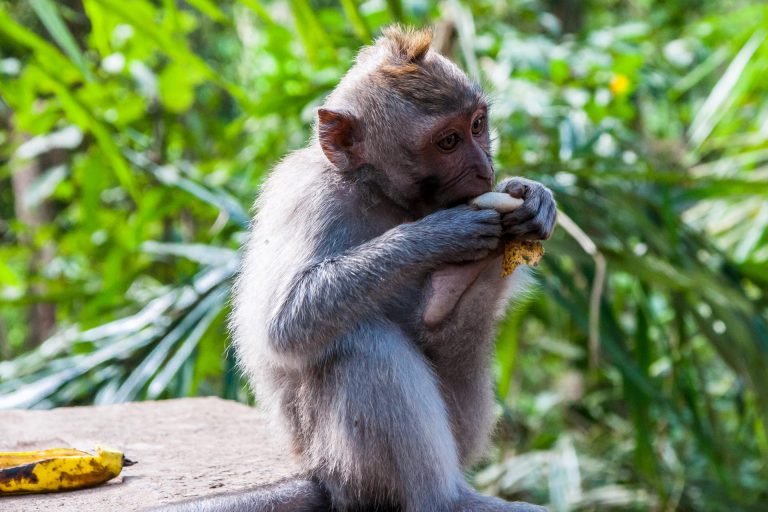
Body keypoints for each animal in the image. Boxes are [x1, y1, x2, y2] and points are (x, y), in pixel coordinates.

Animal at [156, 26, 556, 512]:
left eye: (477, 125)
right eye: (448, 141)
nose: (484, 171)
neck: (379, 192)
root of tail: (319, 474)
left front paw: (533, 197)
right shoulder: (309, 199)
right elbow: (283, 323)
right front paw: (441, 233)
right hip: (343, 464)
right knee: (363, 344)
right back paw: (447, 500)